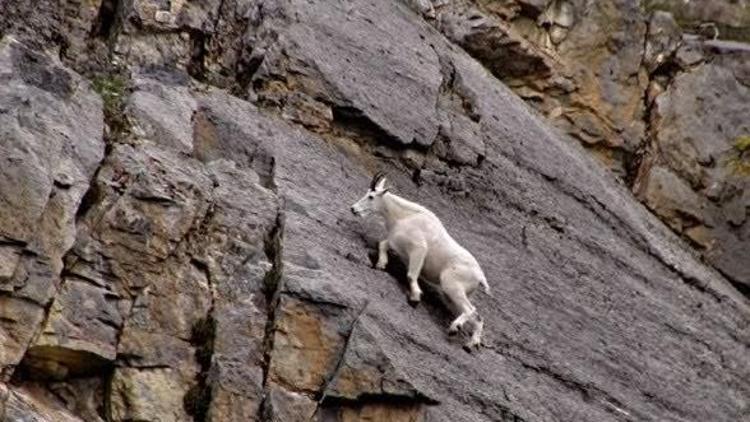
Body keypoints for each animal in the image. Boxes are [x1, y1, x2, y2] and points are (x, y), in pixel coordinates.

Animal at [352, 172, 494, 350]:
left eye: (371, 196)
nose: (353, 209)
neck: (404, 217)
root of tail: (480, 277)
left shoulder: (418, 250)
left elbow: (411, 275)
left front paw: (415, 297)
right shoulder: (397, 245)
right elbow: (383, 244)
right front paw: (380, 264)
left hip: (451, 285)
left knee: (471, 309)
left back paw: (454, 328)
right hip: (455, 295)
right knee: (478, 317)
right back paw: (470, 344)